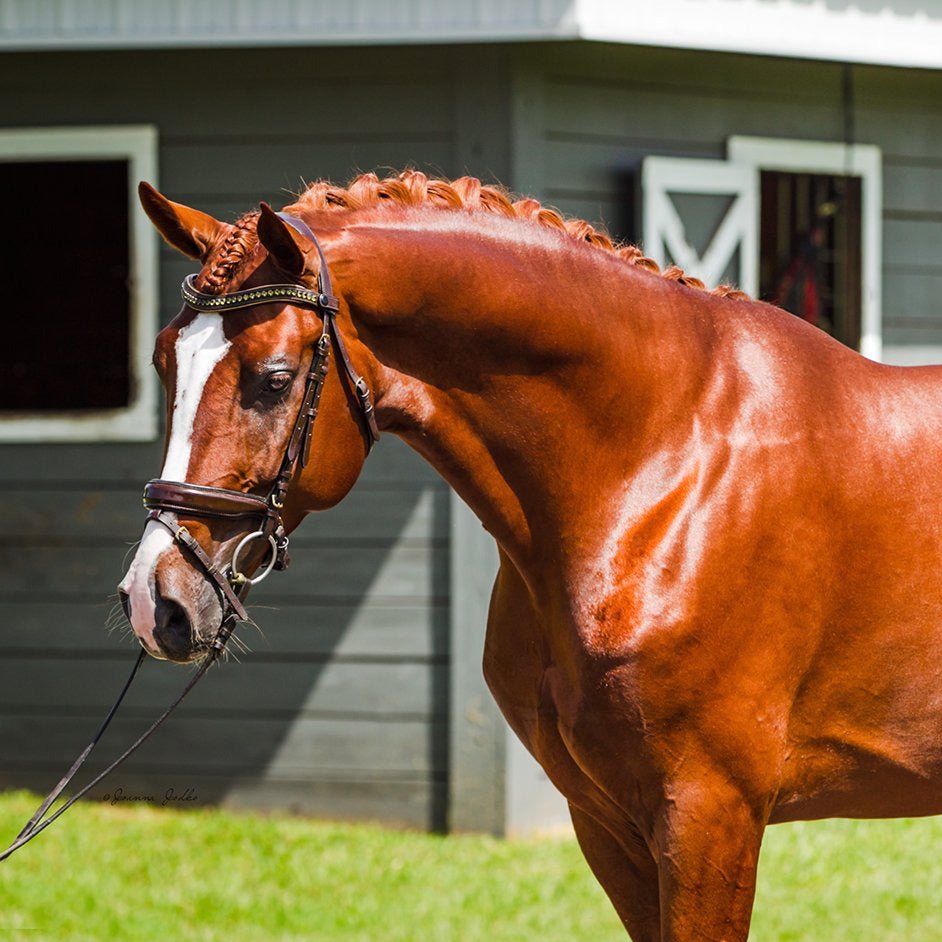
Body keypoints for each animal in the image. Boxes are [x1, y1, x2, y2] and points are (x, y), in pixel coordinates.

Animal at [120, 171, 942, 942]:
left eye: (275, 379)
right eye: (163, 363)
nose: (156, 600)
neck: (666, 461)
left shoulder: (711, 814)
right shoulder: (607, 822)